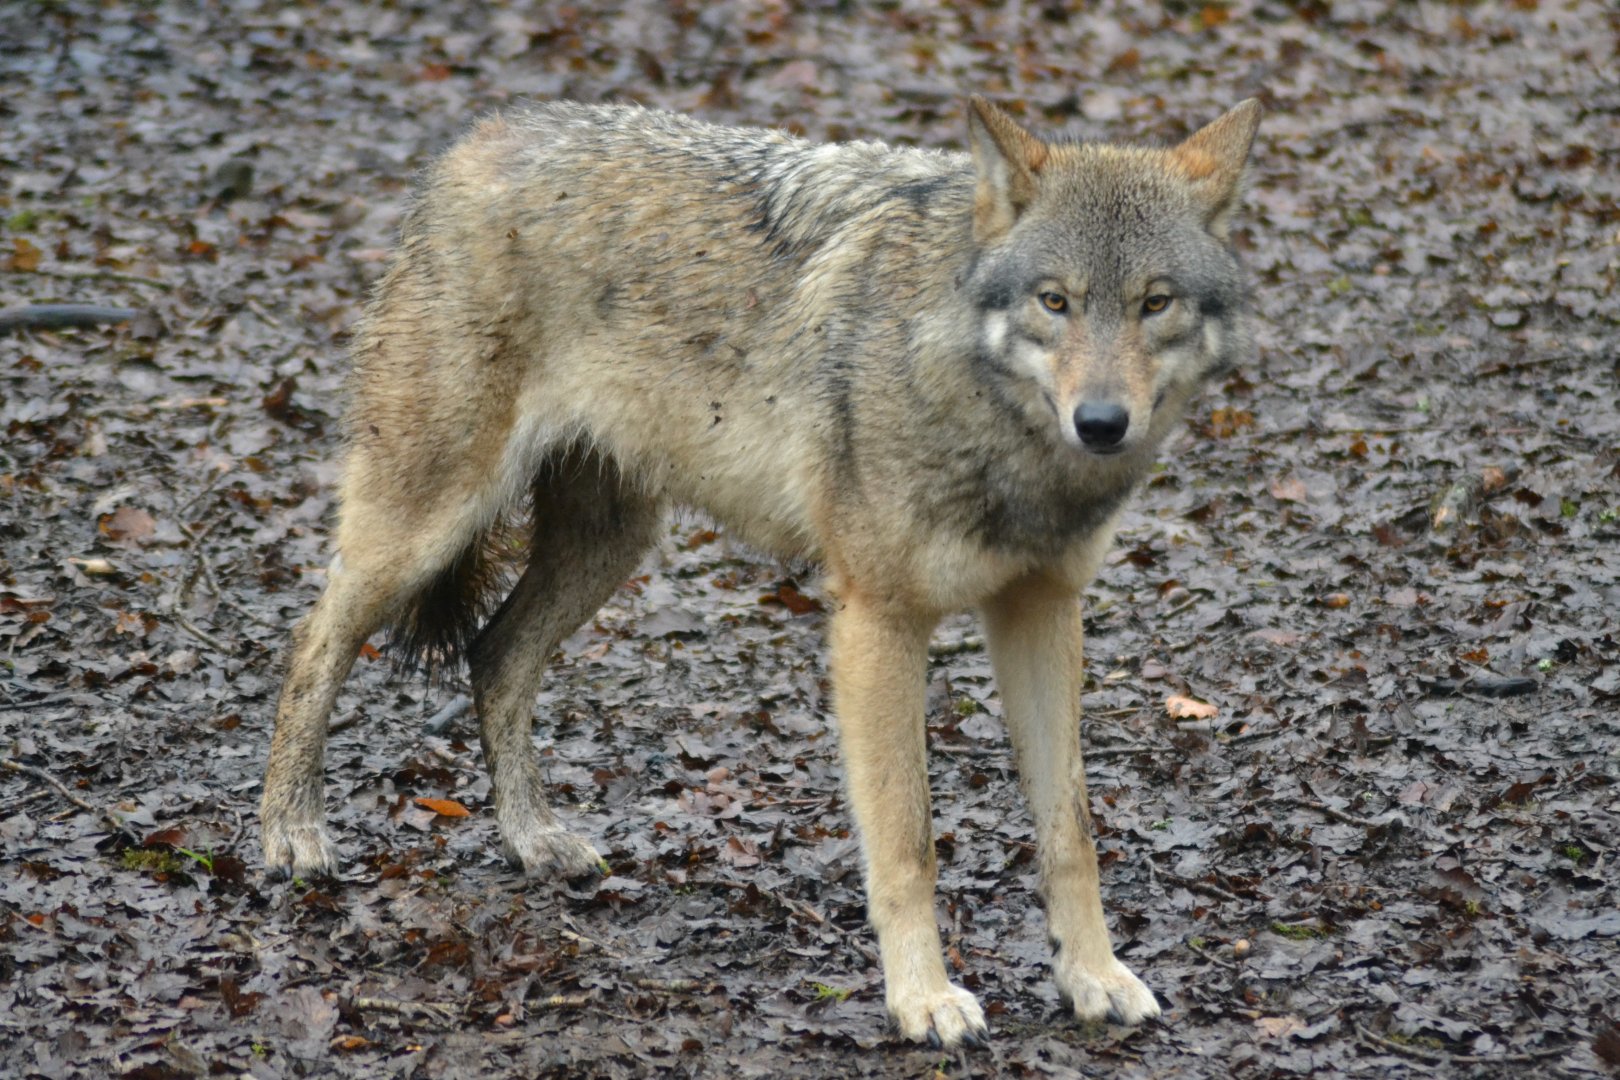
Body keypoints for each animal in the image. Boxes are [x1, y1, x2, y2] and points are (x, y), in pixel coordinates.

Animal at [259, 94, 1261, 1048]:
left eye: (1154, 303)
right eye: (1056, 301)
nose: (1103, 423)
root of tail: (473, 145)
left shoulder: (1043, 608)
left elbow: (1070, 831)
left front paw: (1093, 979)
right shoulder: (876, 622)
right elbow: (908, 841)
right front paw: (923, 1000)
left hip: (605, 549)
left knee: (495, 654)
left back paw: (532, 839)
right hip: (426, 526)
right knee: (314, 638)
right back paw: (292, 837)